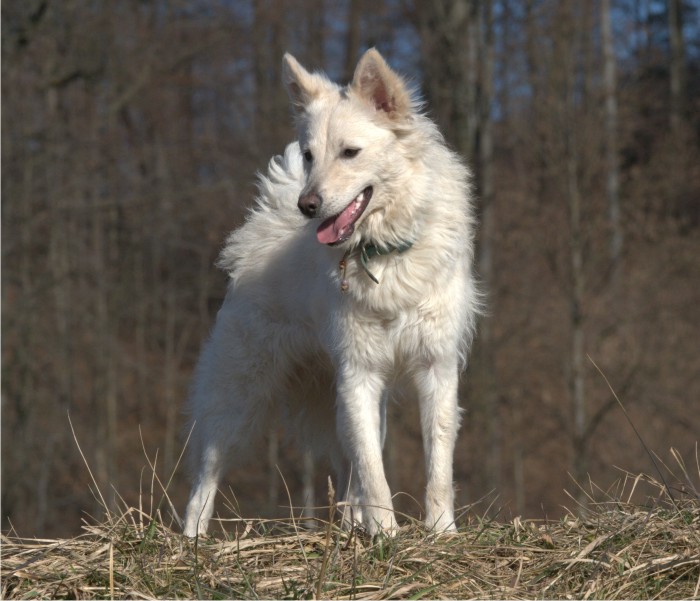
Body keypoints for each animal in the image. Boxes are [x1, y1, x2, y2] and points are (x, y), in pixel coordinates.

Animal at [183, 48, 479, 537]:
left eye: (350, 152)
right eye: (309, 155)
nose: (308, 206)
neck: (383, 255)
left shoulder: (435, 367)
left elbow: (437, 466)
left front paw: (440, 532)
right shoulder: (359, 373)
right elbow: (375, 473)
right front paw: (386, 535)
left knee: (347, 469)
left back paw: (348, 524)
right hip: (238, 395)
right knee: (204, 478)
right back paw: (191, 541)